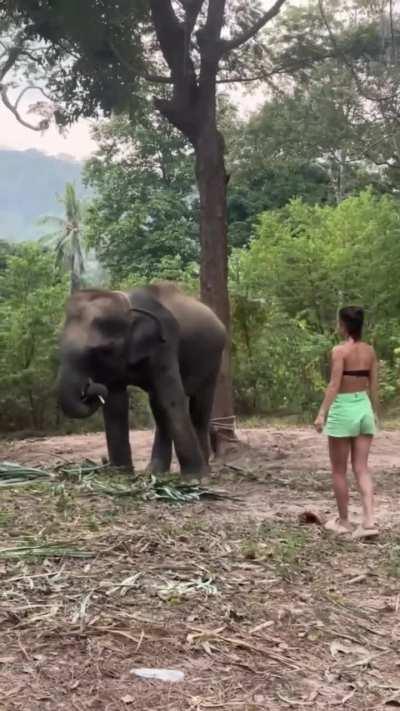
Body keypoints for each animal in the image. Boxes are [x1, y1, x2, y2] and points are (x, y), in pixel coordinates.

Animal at [57, 282, 226, 478]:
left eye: (101, 350)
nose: (90, 387)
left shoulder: (165, 343)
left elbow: (172, 399)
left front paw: (195, 478)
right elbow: (116, 403)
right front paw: (121, 475)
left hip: (214, 360)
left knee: (199, 407)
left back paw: (203, 470)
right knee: (158, 407)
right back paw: (155, 472)